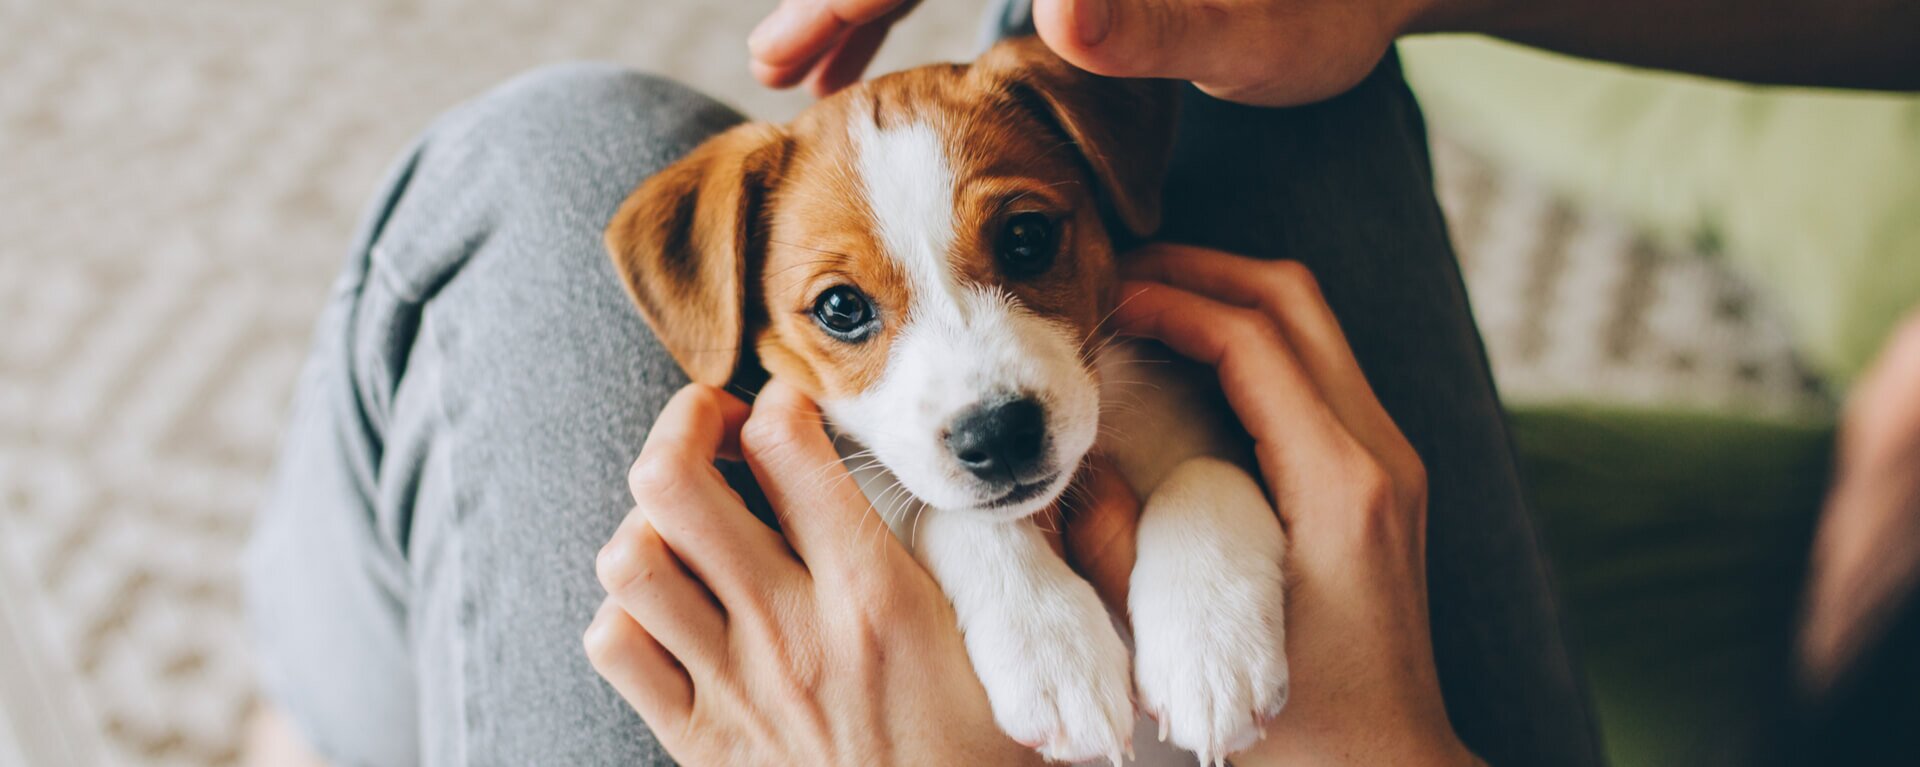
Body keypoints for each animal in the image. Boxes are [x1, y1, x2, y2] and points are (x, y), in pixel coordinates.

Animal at [606, 36, 1282, 767]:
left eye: (1026, 237)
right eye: (840, 307)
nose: (999, 435)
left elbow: (1205, 470)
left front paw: (1210, 644)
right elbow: (950, 517)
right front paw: (1051, 650)